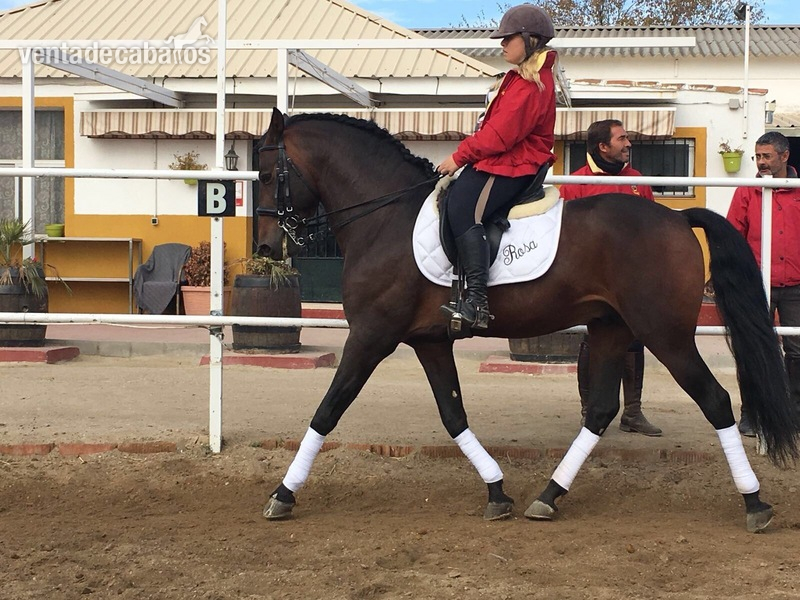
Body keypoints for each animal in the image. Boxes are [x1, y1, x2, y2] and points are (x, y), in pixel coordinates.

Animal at [254, 107, 799, 532]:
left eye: (265, 174)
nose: (265, 248)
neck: (386, 216)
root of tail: (676, 217)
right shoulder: (429, 341)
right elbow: (453, 415)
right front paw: (497, 492)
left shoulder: (371, 336)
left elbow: (328, 409)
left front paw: (282, 494)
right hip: (611, 329)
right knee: (599, 410)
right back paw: (548, 496)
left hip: (666, 335)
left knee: (715, 400)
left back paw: (755, 503)